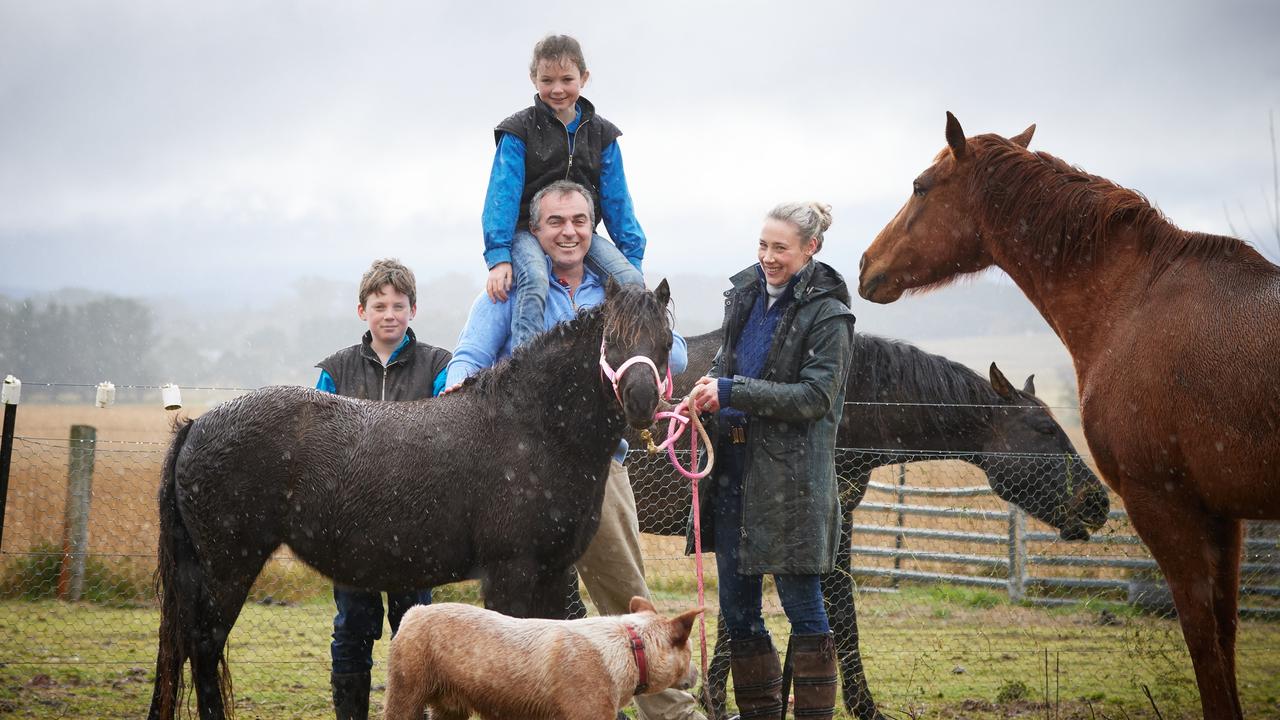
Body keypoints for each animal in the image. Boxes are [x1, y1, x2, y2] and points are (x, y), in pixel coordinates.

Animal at [381, 594, 701, 717]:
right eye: (689, 650)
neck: (630, 651)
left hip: (450, 706)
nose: (697, 672)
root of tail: (413, 613)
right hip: (406, 691)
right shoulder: (589, 712)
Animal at [855, 112, 1280, 717]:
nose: (866, 264)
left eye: (920, 186)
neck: (1135, 301)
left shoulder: (1164, 502)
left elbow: (1203, 638)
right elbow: (1224, 633)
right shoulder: (1222, 512)